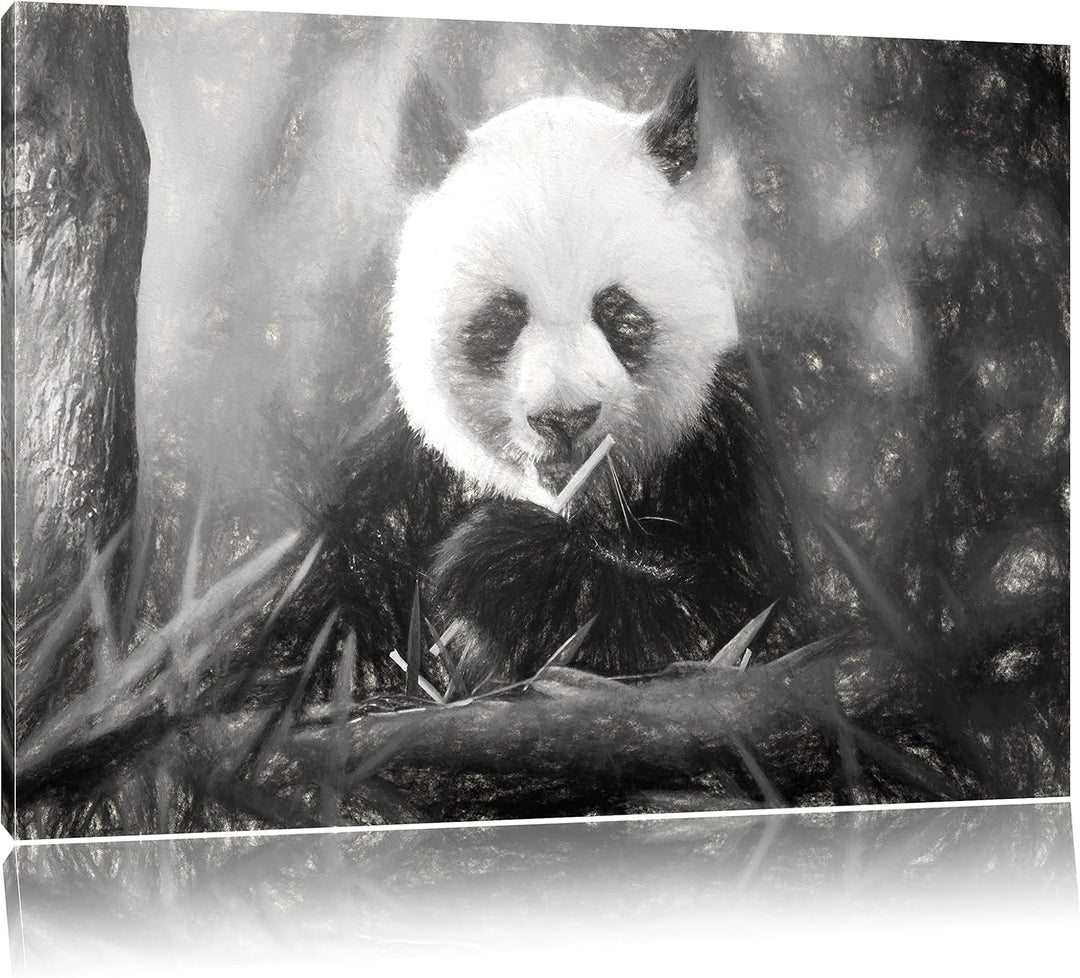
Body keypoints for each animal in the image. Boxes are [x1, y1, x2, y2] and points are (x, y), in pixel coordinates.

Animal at [326, 66, 796, 695]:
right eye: (502, 318)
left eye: (618, 312)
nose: (564, 419)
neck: (571, 505)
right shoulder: (396, 482)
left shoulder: (727, 447)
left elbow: (731, 626)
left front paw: (501, 561)